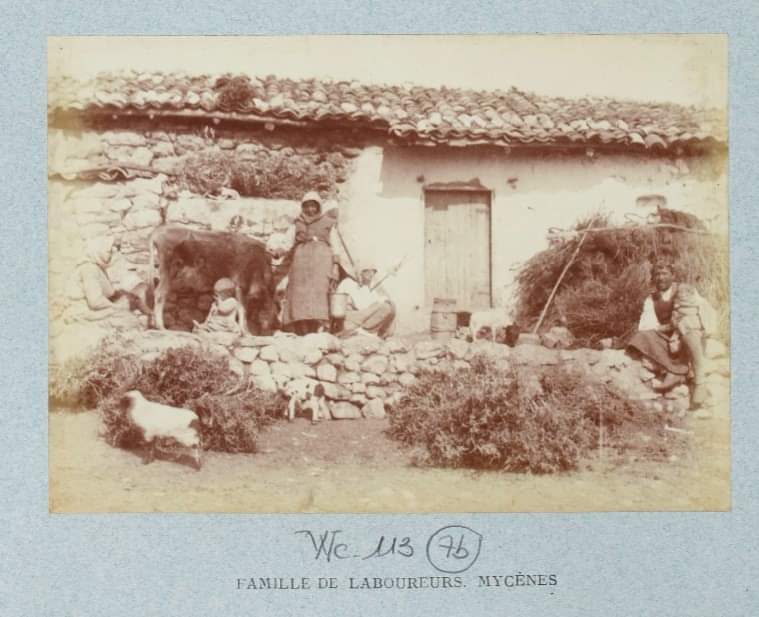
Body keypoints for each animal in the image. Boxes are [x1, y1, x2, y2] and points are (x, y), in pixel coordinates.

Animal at [148, 224, 282, 334]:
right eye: (277, 308)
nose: (277, 324)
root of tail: (158, 231)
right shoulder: (240, 284)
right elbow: (242, 309)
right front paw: (246, 332)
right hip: (167, 269)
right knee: (160, 293)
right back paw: (161, 327)